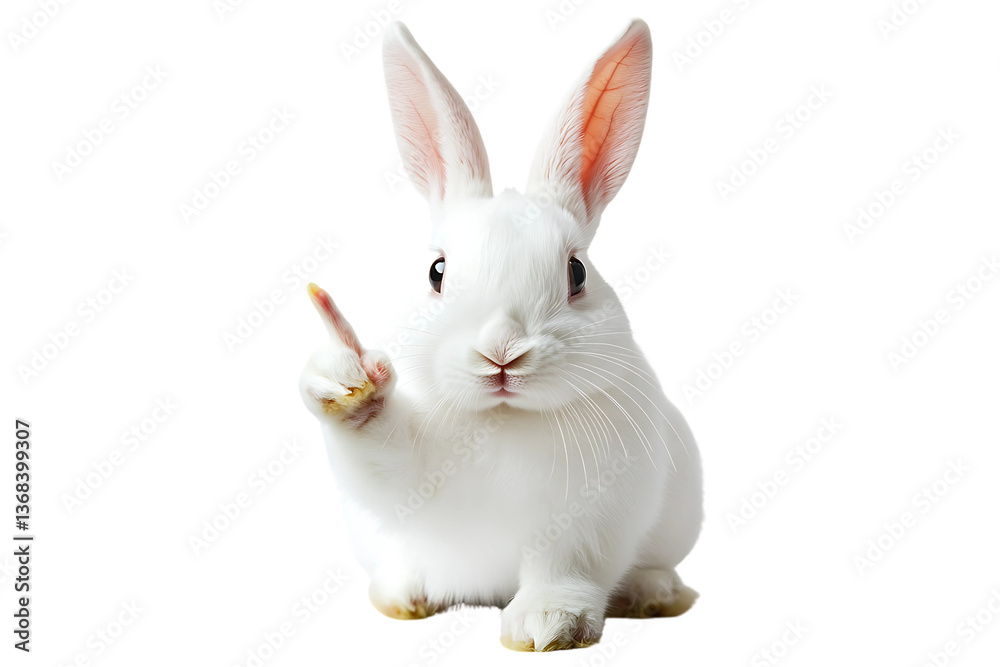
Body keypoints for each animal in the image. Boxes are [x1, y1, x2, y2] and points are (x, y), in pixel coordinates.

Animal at [299, 19, 703, 652]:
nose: (501, 353)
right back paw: (403, 592)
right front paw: (347, 376)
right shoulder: (405, 474)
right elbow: (378, 450)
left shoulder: (584, 526)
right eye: (437, 271)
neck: (505, 419)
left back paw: (654, 593)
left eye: (577, 272)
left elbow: (563, 571)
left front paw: (548, 626)